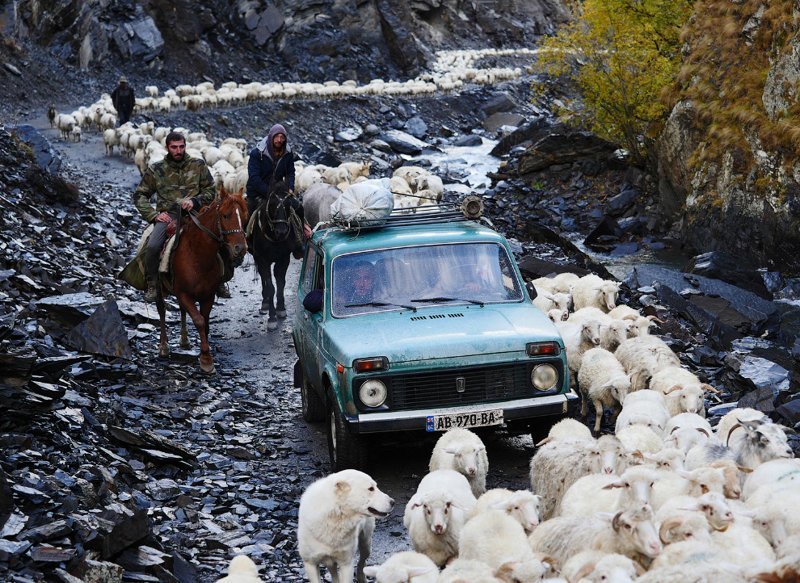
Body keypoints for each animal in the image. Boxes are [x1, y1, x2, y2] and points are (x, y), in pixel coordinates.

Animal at [154, 189, 247, 376]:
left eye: (244, 216)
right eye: (226, 215)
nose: (241, 249)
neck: (197, 257)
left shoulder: (207, 296)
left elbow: (205, 322)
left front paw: (205, 354)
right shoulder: (184, 293)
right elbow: (199, 321)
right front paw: (206, 360)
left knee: (181, 310)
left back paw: (184, 341)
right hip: (160, 288)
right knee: (161, 309)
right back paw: (164, 346)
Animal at [250, 180, 300, 330]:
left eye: (289, 204)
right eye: (271, 204)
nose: (282, 231)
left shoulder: (284, 258)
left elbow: (281, 283)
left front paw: (281, 308)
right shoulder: (263, 259)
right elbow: (271, 286)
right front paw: (272, 318)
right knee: (263, 278)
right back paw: (265, 302)